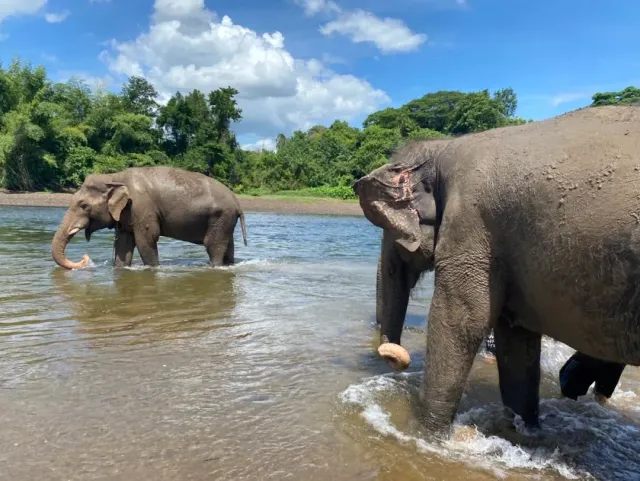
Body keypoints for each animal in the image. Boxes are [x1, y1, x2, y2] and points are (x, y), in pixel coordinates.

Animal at [51, 166, 247, 269]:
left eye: (84, 206)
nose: (85, 258)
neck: (114, 176)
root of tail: (238, 203)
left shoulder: (141, 208)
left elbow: (146, 239)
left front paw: (153, 269)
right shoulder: (127, 213)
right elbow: (124, 243)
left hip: (220, 217)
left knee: (213, 247)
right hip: (225, 220)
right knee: (228, 248)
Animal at [353, 105, 640, 437]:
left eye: (391, 233)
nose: (392, 353)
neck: (442, 149)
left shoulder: (471, 225)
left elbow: (461, 322)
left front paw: (424, 435)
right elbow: (515, 342)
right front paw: (523, 431)